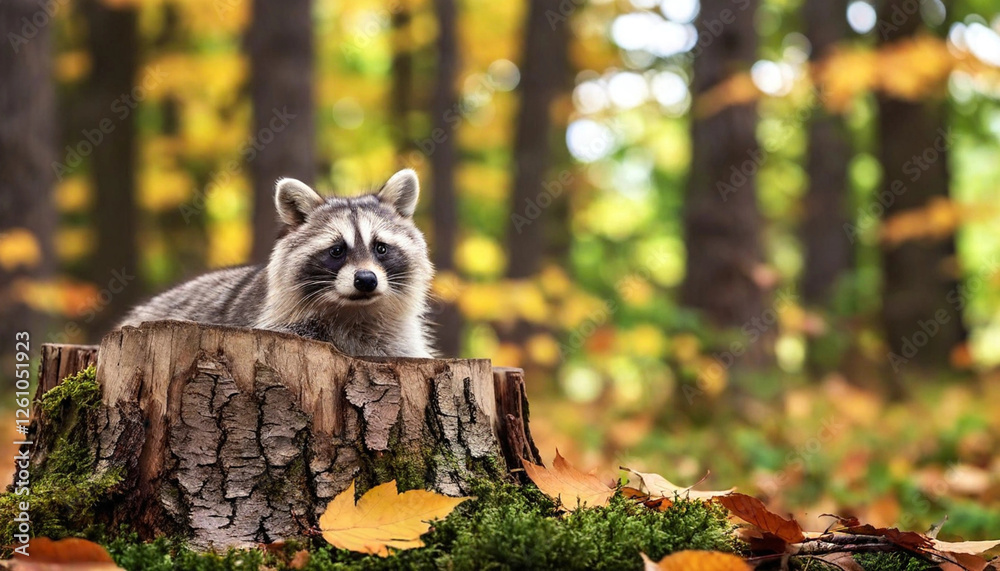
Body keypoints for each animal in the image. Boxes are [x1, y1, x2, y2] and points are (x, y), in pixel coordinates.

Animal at [118, 169, 436, 358]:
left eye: (380, 248)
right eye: (336, 251)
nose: (366, 280)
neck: (355, 311)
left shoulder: (399, 341)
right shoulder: (278, 320)